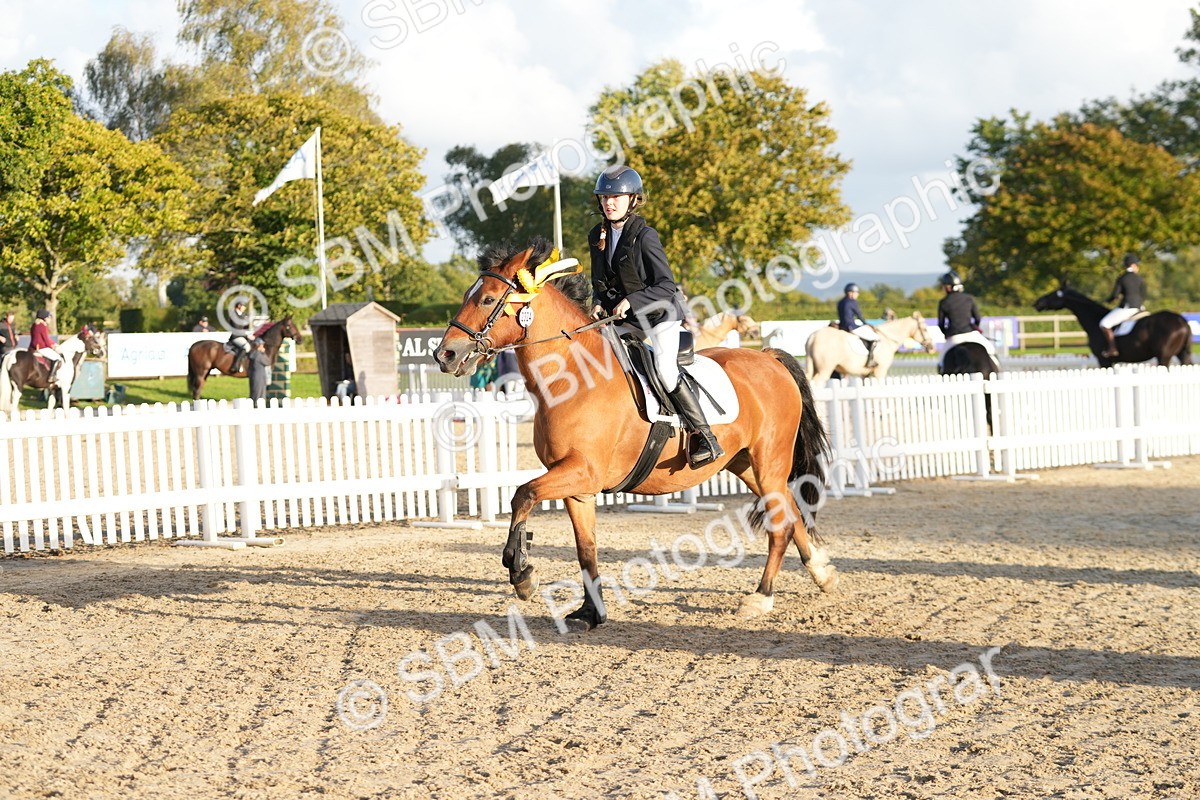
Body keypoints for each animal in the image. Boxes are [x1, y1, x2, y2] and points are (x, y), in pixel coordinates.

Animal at [433, 238, 835, 630]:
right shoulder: (578, 487)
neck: (572, 378)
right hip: (746, 465)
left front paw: (521, 573)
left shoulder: (583, 472)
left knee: (780, 525)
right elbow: (586, 548)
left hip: (769, 461)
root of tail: (767, 357)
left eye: (487, 300)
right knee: (790, 513)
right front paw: (591, 612)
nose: (444, 354)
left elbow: (522, 495)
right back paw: (822, 573)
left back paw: (761, 598)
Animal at [804, 312, 936, 385]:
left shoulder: (865, 374)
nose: (931, 348)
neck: (887, 338)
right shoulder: (880, 371)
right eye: (925, 329)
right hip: (825, 370)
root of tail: (813, 336)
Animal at [1032, 286, 1192, 367]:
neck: (1094, 318)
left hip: (1164, 356)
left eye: (1054, 294)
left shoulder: (1104, 360)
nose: (1037, 303)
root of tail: (1181, 320)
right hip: (1181, 354)